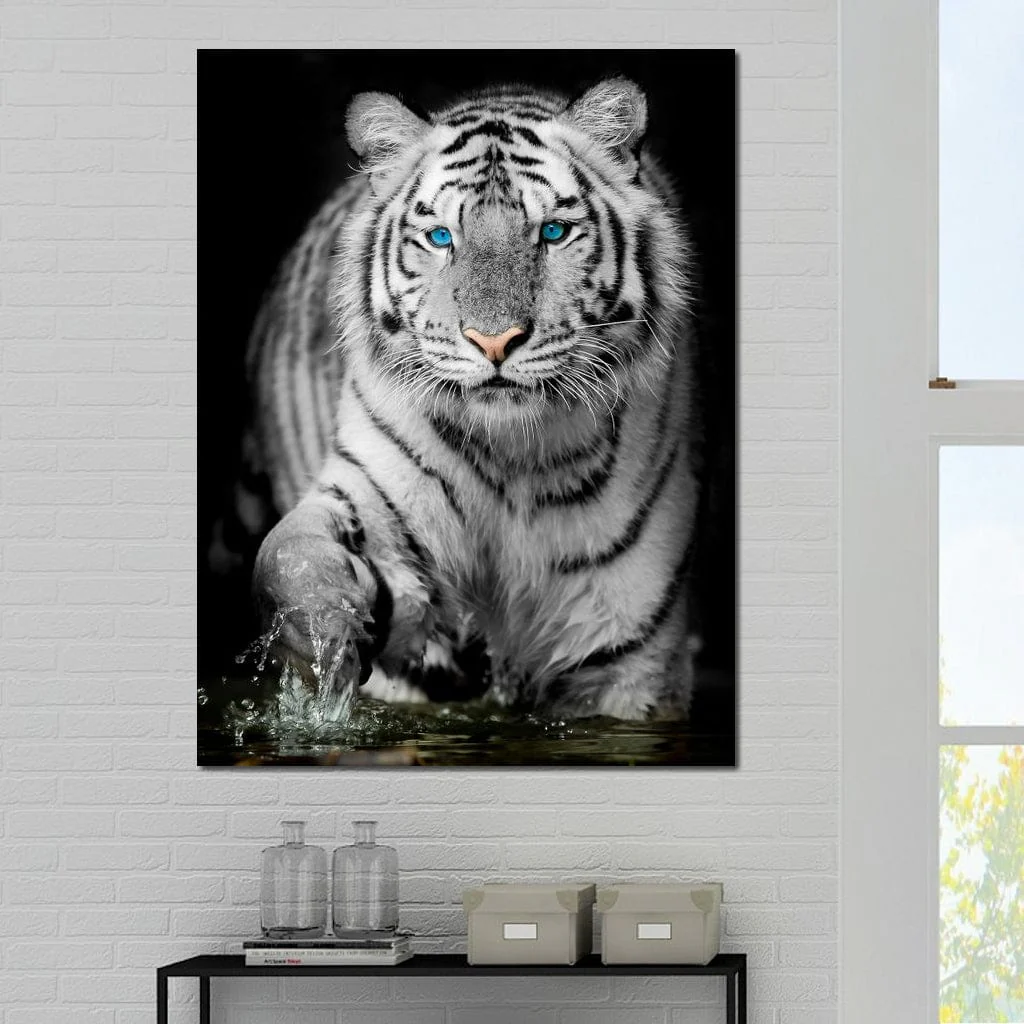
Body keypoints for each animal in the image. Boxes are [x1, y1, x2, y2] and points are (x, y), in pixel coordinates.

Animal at [244, 77, 700, 721]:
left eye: (552, 232)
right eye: (441, 238)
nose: (494, 341)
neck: (514, 457)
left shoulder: (630, 655)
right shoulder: (370, 493)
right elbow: (291, 555)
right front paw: (323, 635)